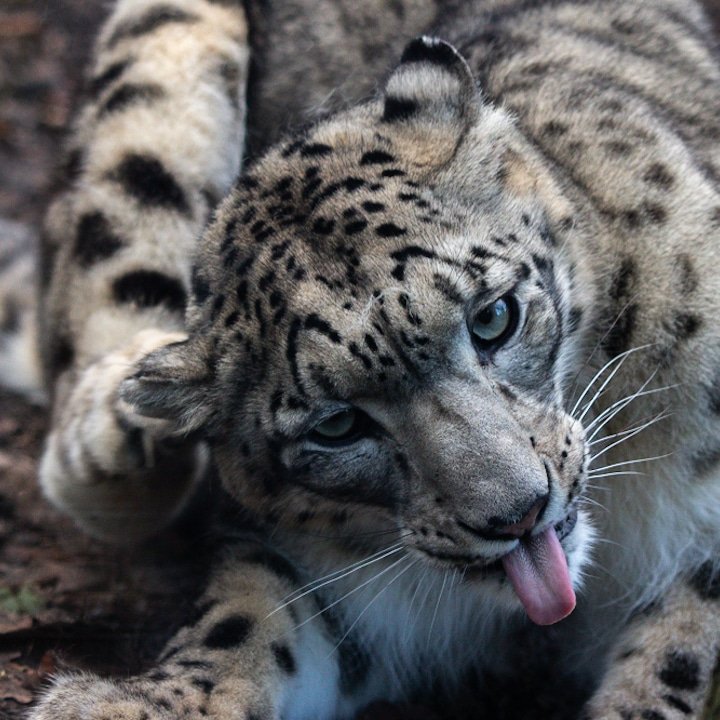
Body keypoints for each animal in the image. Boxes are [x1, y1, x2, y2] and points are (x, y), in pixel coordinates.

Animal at [3, 0, 719, 718]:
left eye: (494, 317)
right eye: (338, 425)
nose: (517, 514)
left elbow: (679, 647)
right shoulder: (329, 580)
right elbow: (247, 621)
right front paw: (142, 702)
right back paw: (125, 426)